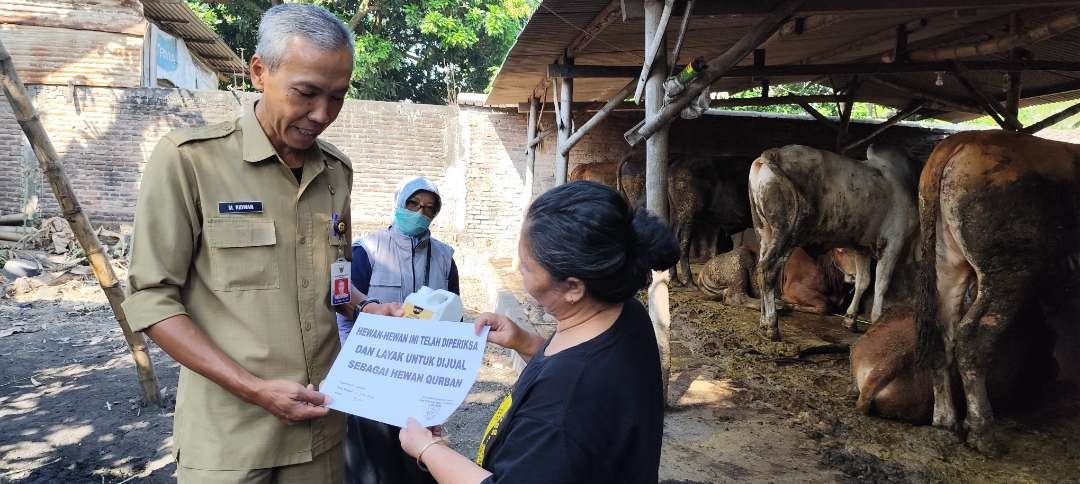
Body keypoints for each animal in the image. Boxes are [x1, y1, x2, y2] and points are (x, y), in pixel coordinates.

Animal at [695, 246, 855, 313]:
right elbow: (824, 305)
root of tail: (703, 271)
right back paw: (778, 305)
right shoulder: (793, 288)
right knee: (735, 297)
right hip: (739, 264)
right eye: (841, 250)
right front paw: (793, 305)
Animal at [751, 143, 920, 341]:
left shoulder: (862, 247)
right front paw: (877, 320)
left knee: (760, 269)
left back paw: (763, 324)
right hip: (785, 233)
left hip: (765, 232)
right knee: (767, 271)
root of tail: (773, 153)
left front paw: (850, 319)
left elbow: (863, 281)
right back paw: (771, 326)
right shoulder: (894, 242)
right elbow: (881, 284)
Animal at [911, 129, 1080, 453]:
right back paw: (982, 432)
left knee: (943, 333)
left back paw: (945, 421)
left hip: (946, 262)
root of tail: (966, 138)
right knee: (973, 337)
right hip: (1010, 268)